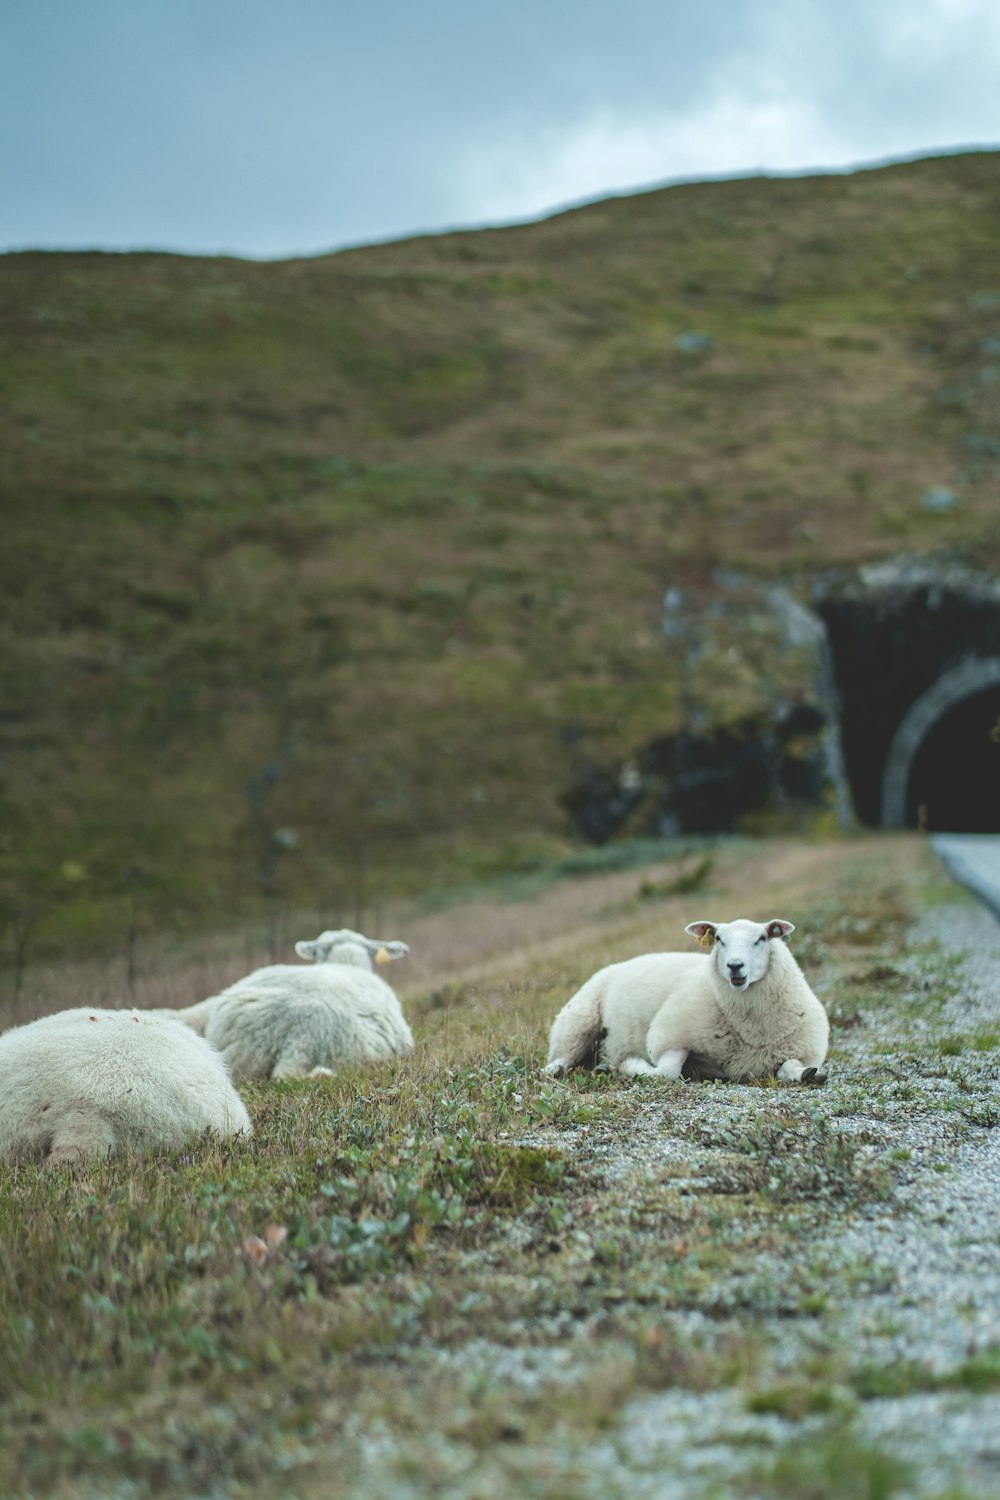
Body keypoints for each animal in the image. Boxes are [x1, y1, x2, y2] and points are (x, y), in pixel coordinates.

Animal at [542, 918, 833, 1086]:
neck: (750, 1030)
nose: (734, 966)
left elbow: (792, 1067)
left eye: (761, 939)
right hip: (578, 1021)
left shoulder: (797, 1049)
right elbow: (666, 1072)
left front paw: (808, 1074)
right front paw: (629, 1066)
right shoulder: (670, 1036)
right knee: (561, 1059)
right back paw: (557, 1071)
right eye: (719, 939)